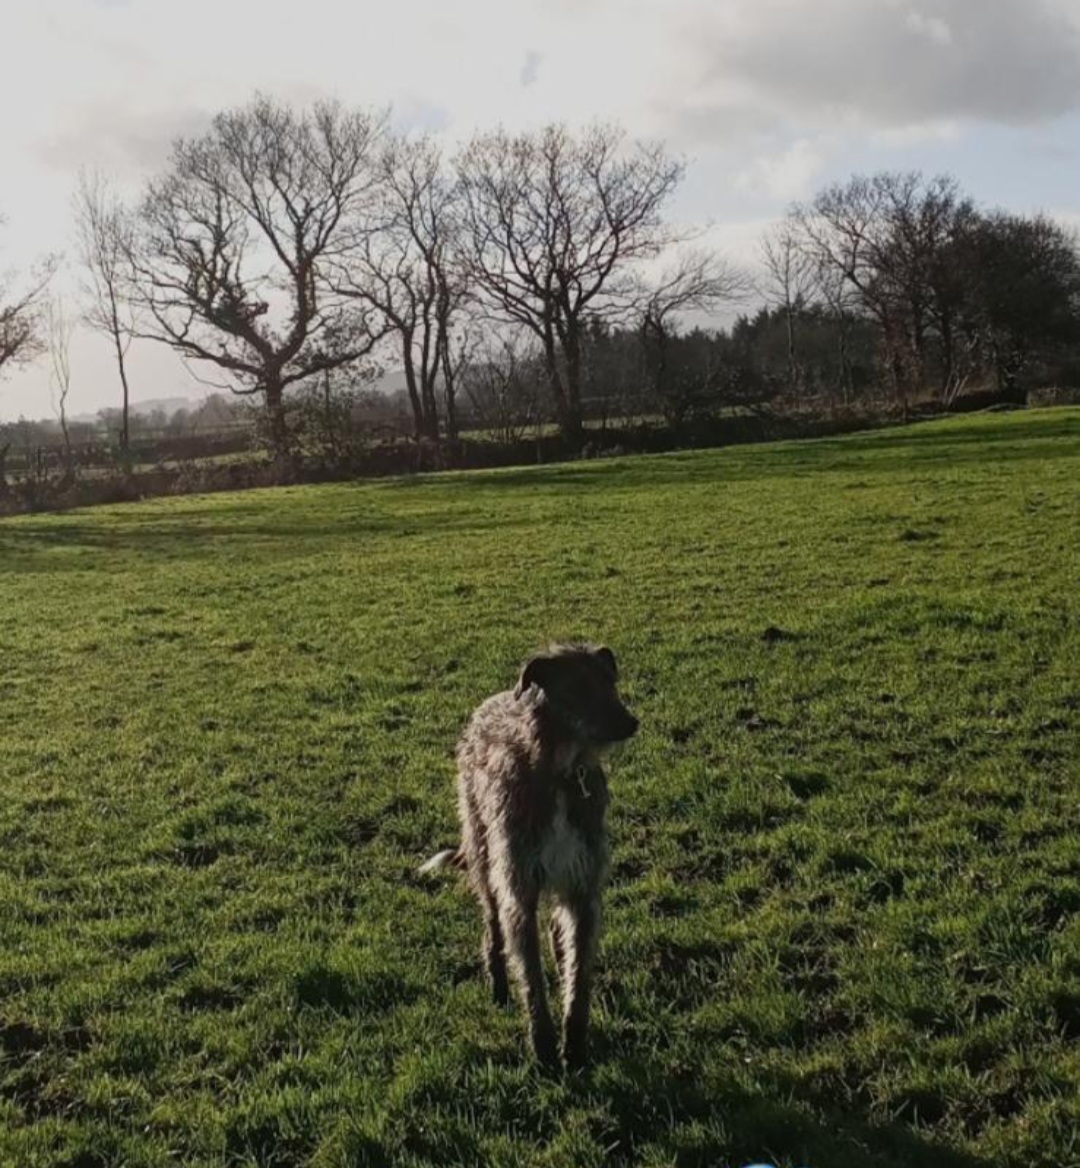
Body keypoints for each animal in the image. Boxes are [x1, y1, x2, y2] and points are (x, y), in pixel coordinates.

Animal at [421, 642, 639, 1070]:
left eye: (610, 681)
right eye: (580, 686)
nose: (631, 723)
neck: (564, 774)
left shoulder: (583, 889)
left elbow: (580, 972)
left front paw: (575, 1047)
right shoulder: (519, 888)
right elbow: (531, 974)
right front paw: (544, 1049)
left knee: (558, 932)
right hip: (485, 853)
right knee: (493, 925)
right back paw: (499, 986)